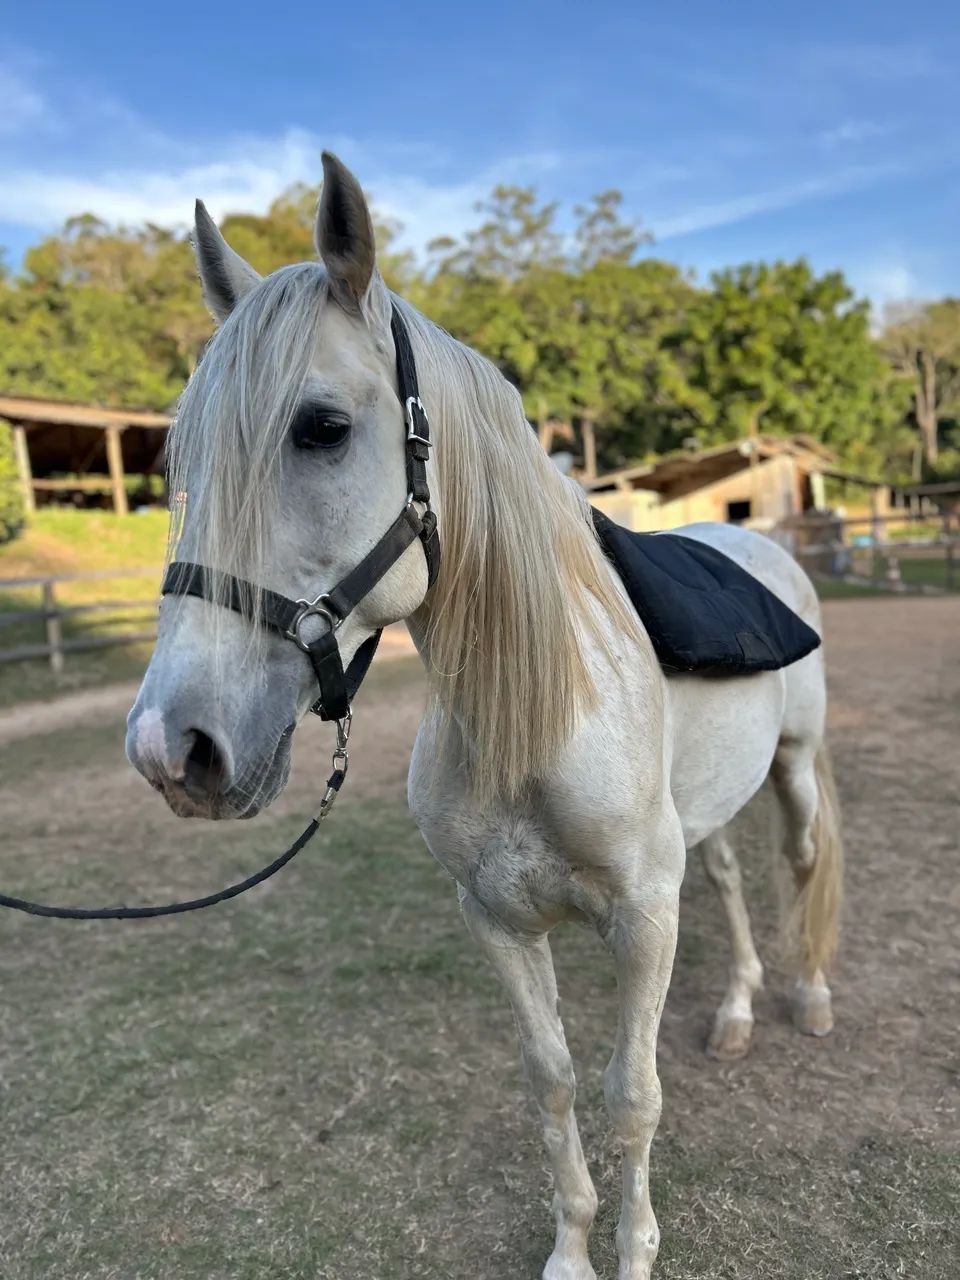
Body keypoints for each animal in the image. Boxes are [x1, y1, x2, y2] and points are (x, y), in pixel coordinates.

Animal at [126, 153, 842, 1280]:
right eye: (178, 459)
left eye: (322, 427)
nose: (171, 748)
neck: (536, 719)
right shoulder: (497, 920)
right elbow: (551, 1080)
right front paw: (571, 1250)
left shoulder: (643, 917)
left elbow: (632, 1094)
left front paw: (635, 1251)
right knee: (730, 881)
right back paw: (734, 1011)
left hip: (797, 767)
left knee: (802, 860)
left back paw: (807, 999)